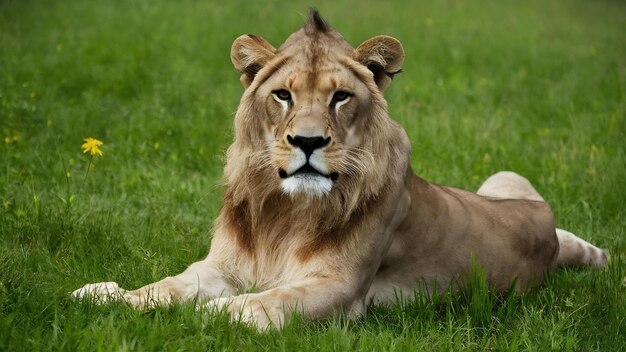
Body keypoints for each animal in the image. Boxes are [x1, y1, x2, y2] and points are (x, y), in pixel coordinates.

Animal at [72, 11, 604, 330]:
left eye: (340, 97)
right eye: (282, 95)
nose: (308, 142)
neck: (284, 212)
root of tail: (540, 220)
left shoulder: (343, 289)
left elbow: (262, 303)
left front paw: (209, 314)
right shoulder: (221, 266)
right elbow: (165, 287)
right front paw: (103, 294)